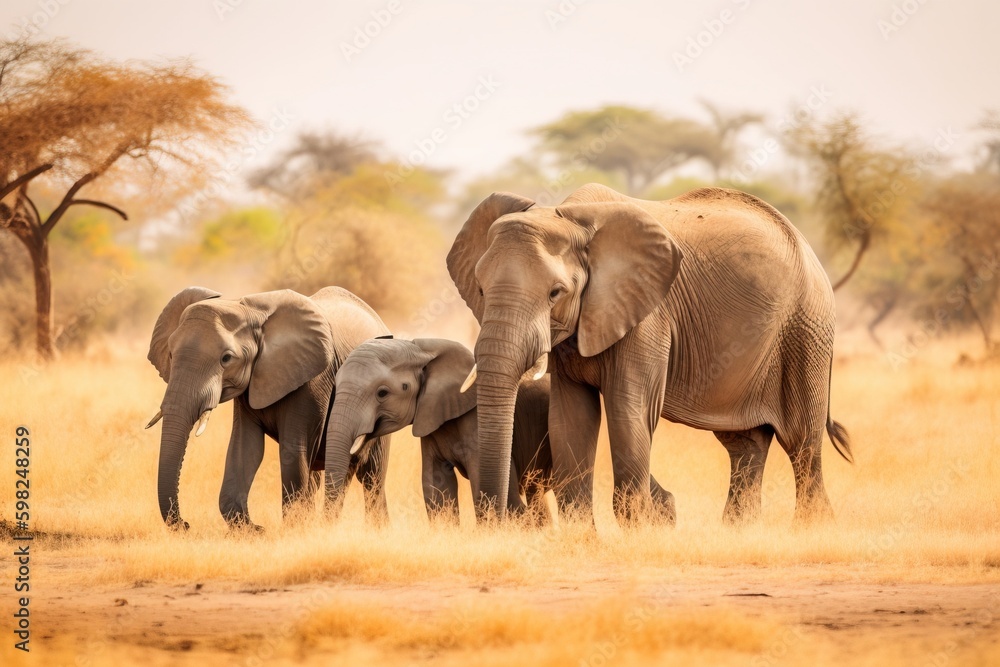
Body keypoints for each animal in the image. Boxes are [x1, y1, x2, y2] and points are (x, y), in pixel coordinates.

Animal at [145, 285, 391, 530]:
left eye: (226, 358)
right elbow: (246, 447)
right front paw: (255, 530)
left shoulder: (312, 381)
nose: (186, 524)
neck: (249, 310)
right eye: (170, 354)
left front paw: (291, 529)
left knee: (371, 476)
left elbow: (293, 451)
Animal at [447, 183, 852, 525]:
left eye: (555, 293)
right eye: (480, 289)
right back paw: (739, 532)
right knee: (744, 443)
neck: (569, 217)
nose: (499, 519)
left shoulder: (647, 316)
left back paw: (812, 529)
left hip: (807, 329)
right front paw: (586, 541)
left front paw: (636, 532)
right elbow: (569, 418)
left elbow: (629, 411)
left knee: (802, 443)